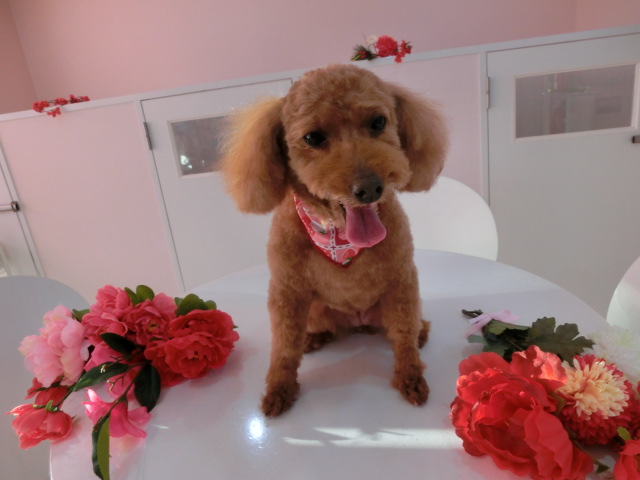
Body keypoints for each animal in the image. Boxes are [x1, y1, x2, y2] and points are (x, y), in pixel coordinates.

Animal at [220, 63, 448, 417]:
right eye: (313, 137)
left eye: (378, 122)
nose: (369, 188)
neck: (337, 236)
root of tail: (358, 323)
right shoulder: (287, 291)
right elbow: (284, 346)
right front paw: (279, 390)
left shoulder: (402, 282)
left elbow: (404, 338)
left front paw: (411, 377)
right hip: (316, 308)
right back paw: (314, 338)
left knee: (407, 327)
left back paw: (420, 332)